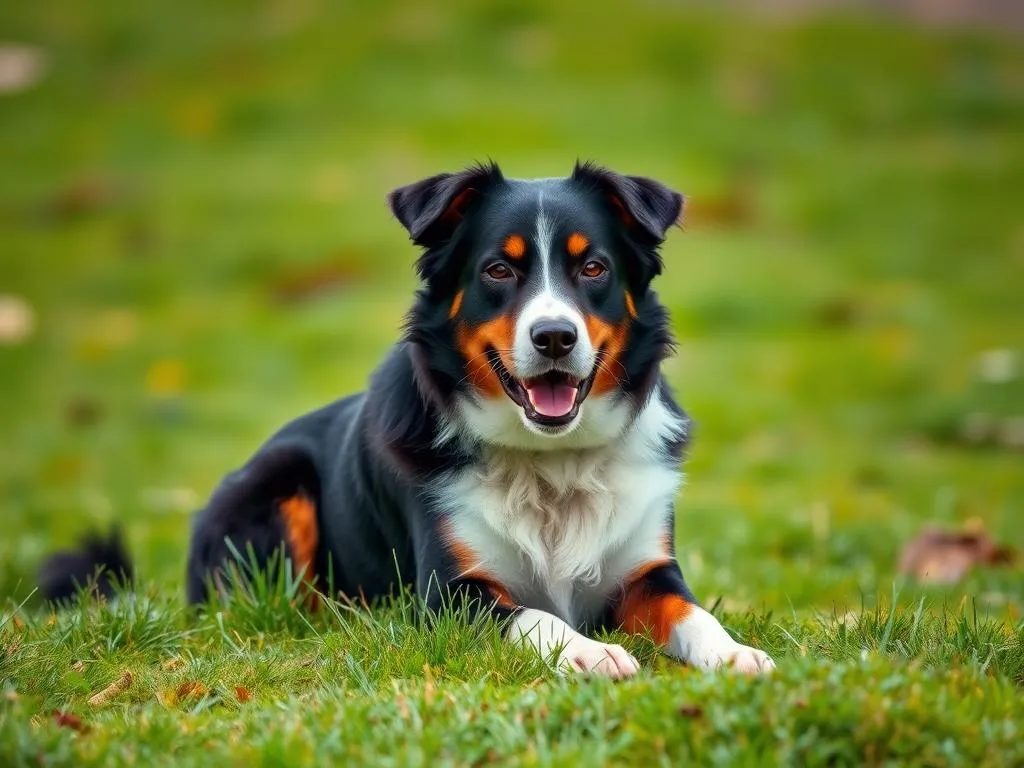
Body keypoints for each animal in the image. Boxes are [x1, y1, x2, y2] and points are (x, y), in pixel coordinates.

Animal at [39, 163, 774, 679]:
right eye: (498, 269)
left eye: (593, 266)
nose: (555, 337)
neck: (550, 460)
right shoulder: (450, 593)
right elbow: (537, 616)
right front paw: (588, 653)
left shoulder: (647, 571)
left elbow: (691, 612)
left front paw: (735, 652)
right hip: (277, 481)